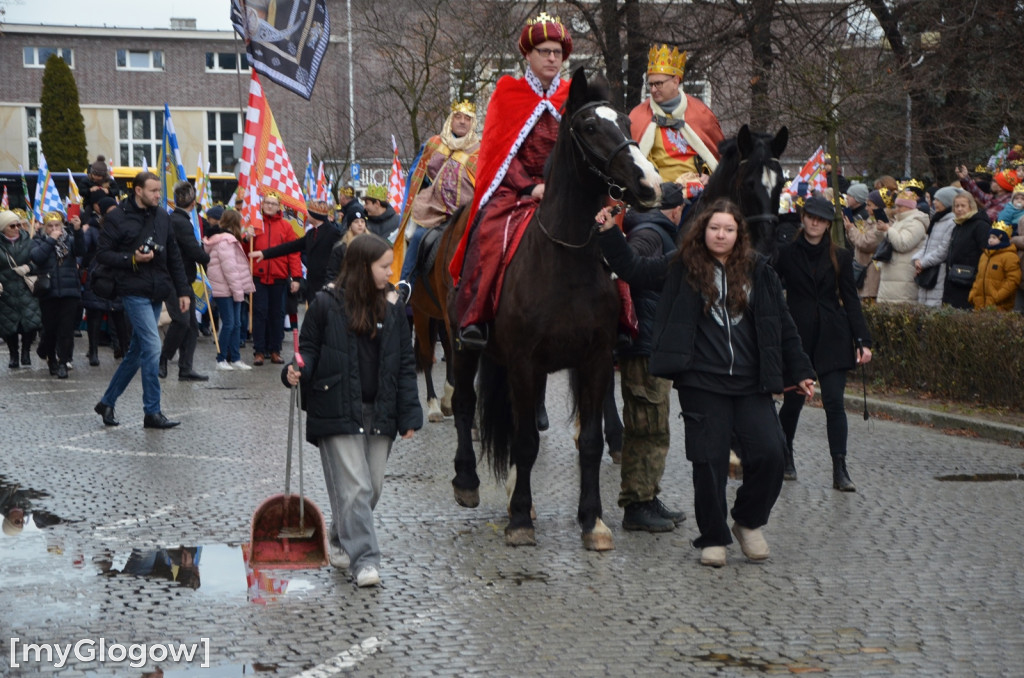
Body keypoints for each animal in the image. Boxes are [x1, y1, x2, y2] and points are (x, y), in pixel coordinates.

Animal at [450, 66, 659, 548]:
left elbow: (590, 442)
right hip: (463, 345)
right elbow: (526, 441)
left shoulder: (595, 360)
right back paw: (467, 480)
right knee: (465, 403)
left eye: (626, 121)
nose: (649, 184)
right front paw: (520, 520)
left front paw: (592, 520)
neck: (566, 258)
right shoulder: (525, 362)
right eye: (589, 127)